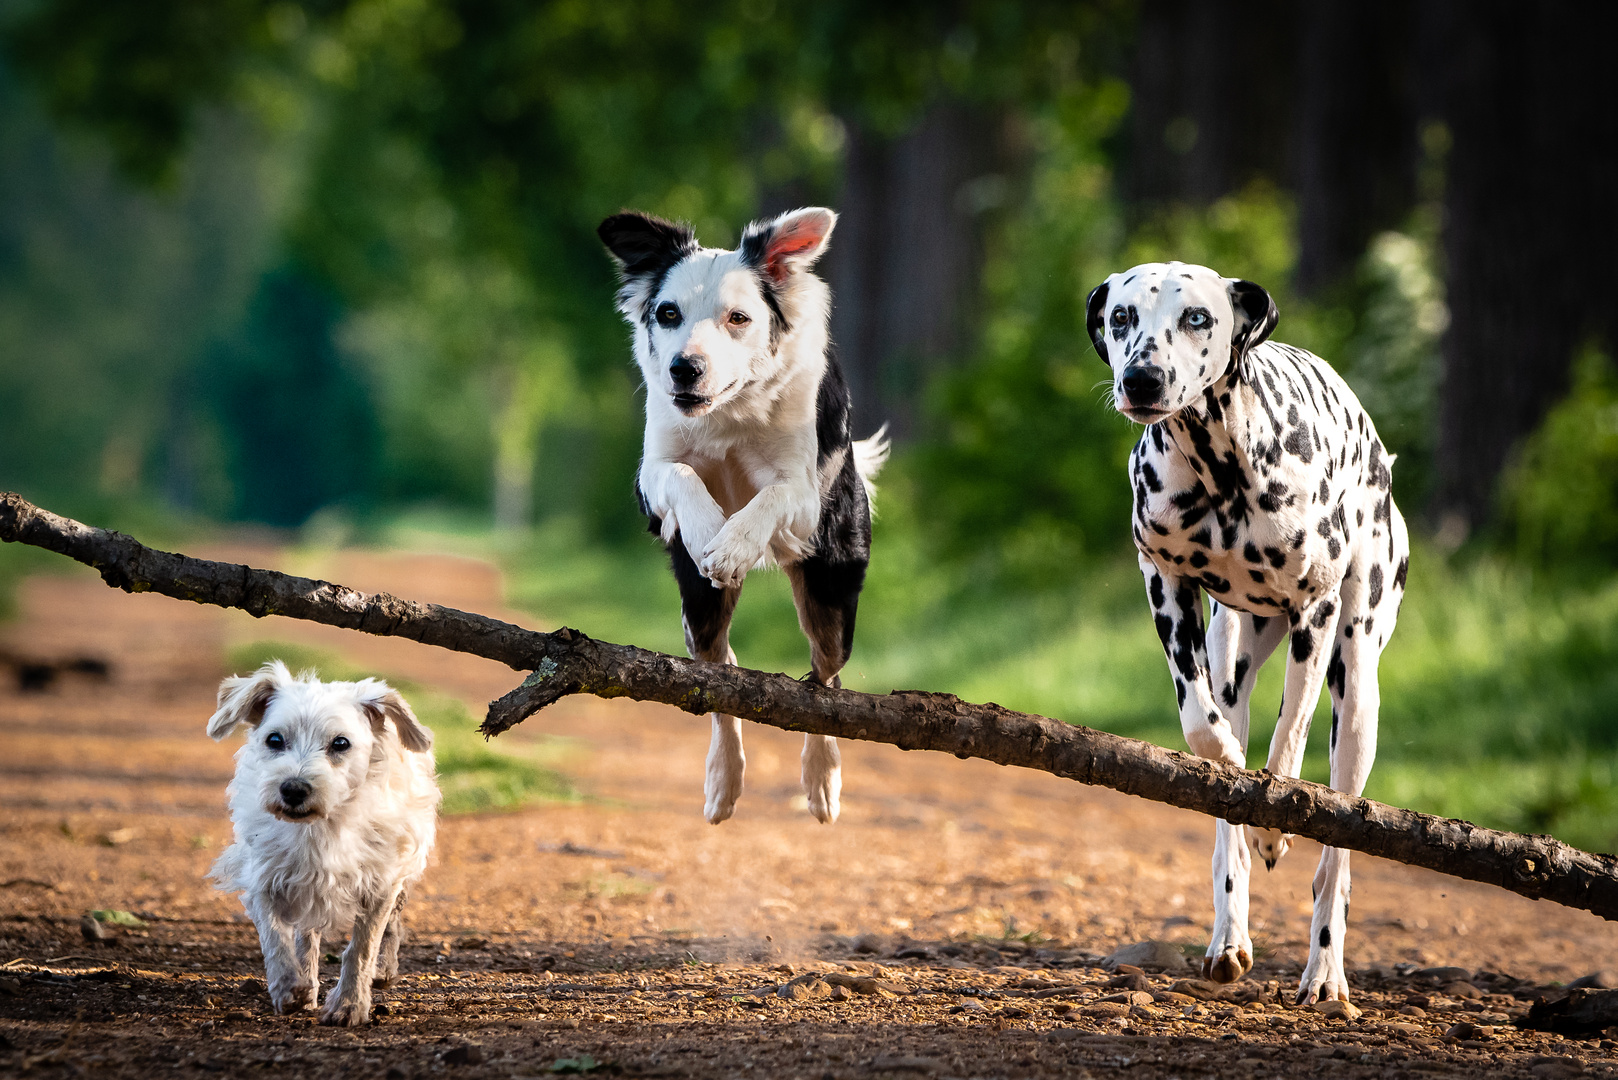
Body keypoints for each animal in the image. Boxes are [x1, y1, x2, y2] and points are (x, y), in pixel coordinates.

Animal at [205, 660, 440, 1029]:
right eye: (274, 739)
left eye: (341, 743)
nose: (293, 788)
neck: (319, 829)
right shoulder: (264, 875)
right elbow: (274, 935)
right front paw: (289, 986)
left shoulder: (380, 882)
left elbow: (362, 948)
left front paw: (349, 1004)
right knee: (305, 935)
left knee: (392, 923)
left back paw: (383, 969)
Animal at [601, 204, 893, 829]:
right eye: (667, 313)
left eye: (738, 318)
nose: (684, 368)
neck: (729, 410)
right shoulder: (651, 474)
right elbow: (682, 476)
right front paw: (711, 531)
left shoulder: (803, 493)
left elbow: (771, 498)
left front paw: (733, 544)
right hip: (699, 610)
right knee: (719, 680)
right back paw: (723, 781)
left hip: (832, 589)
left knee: (825, 682)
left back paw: (822, 782)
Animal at [1087, 259, 1417, 1003]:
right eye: (1121, 318)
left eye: (1197, 318)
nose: (1141, 379)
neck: (1222, 467)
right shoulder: (1166, 584)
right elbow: (1201, 727)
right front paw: (1233, 772)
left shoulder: (1314, 613)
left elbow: (1290, 735)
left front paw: (1274, 819)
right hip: (1233, 651)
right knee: (1226, 808)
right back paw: (1228, 938)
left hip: (1359, 692)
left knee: (1337, 854)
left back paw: (1324, 972)